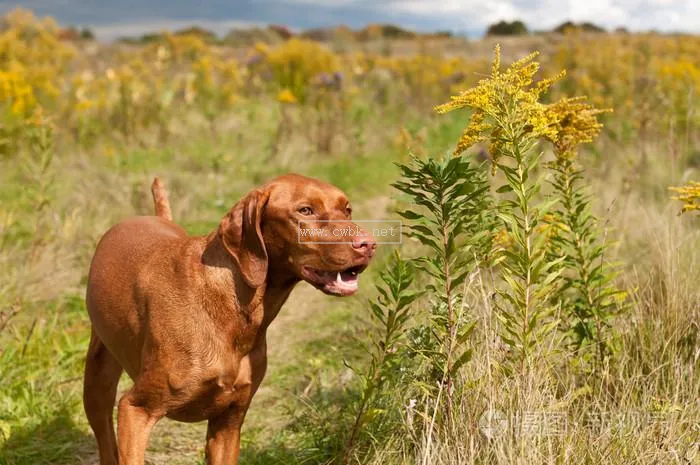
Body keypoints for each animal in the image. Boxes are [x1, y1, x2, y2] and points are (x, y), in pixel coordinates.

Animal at [84, 174, 378, 464]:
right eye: (305, 210)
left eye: (347, 210)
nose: (369, 244)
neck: (233, 306)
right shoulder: (136, 410)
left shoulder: (228, 423)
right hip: (98, 387)